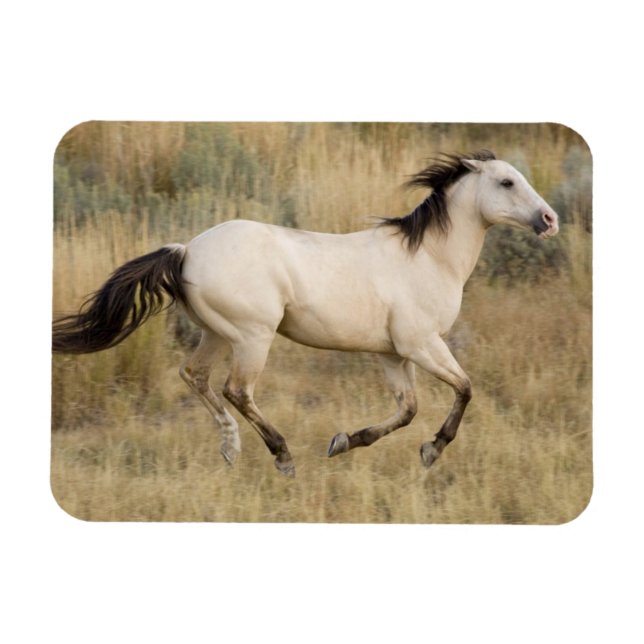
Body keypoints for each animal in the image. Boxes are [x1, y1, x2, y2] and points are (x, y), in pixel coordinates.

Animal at [52, 150, 559, 477]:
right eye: (507, 182)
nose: (550, 220)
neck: (430, 257)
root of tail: (186, 250)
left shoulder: (393, 353)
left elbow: (408, 410)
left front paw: (344, 442)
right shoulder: (421, 344)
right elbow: (465, 389)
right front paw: (432, 451)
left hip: (217, 334)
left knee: (194, 376)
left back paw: (230, 449)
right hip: (252, 336)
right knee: (237, 390)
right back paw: (282, 457)